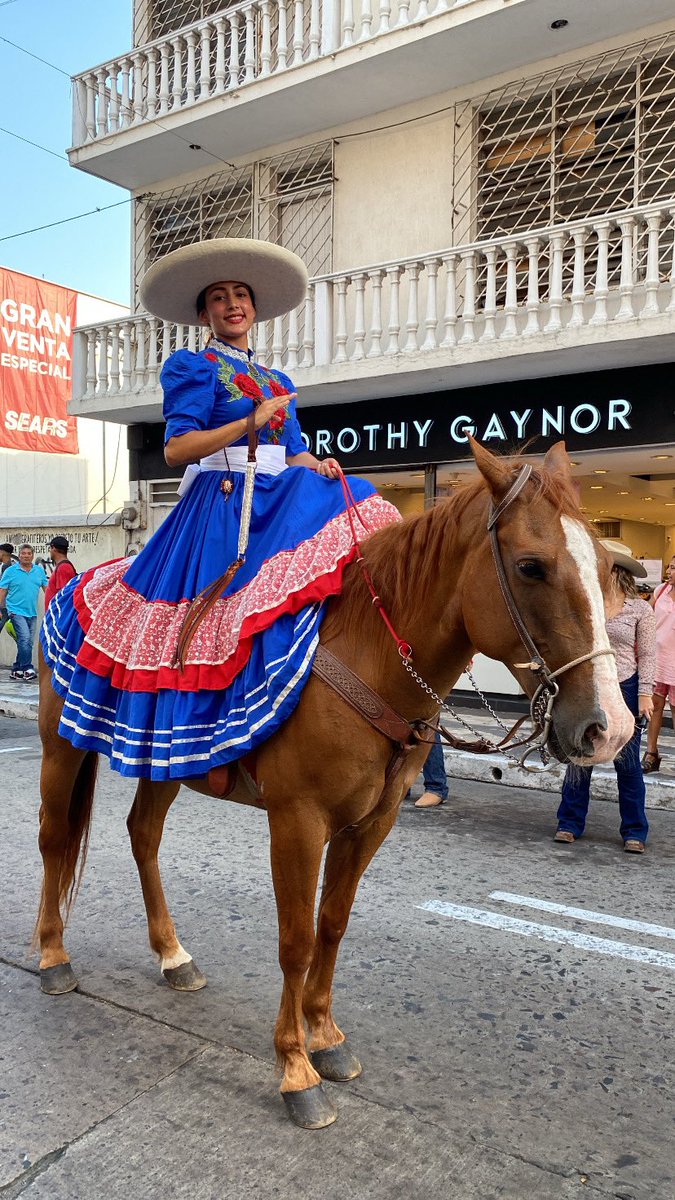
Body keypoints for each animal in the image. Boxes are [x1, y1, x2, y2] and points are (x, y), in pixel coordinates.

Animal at [32, 441, 629, 1123]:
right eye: (531, 567)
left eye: (606, 567)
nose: (610, 729)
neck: (370, 651)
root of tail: (74, 580)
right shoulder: (298, 820)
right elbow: (295, 939)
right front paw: (295, 1069)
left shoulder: (371, 822)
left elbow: (332, 925)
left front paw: (325, 1037)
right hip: (62, 743)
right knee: (54, 838)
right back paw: (52, 957)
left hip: (163, 757)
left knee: (143, 834)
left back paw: (172, 955)